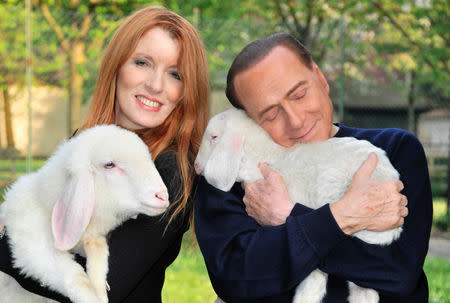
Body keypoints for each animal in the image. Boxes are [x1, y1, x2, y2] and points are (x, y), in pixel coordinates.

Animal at [0, 124, 170, 302]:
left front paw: (101, 288)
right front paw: (96, 297)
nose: (163, 196)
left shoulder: (90, 237)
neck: (47, 204)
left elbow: (99, 251)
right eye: (109, 164)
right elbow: (75, 278)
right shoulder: (34, 248)